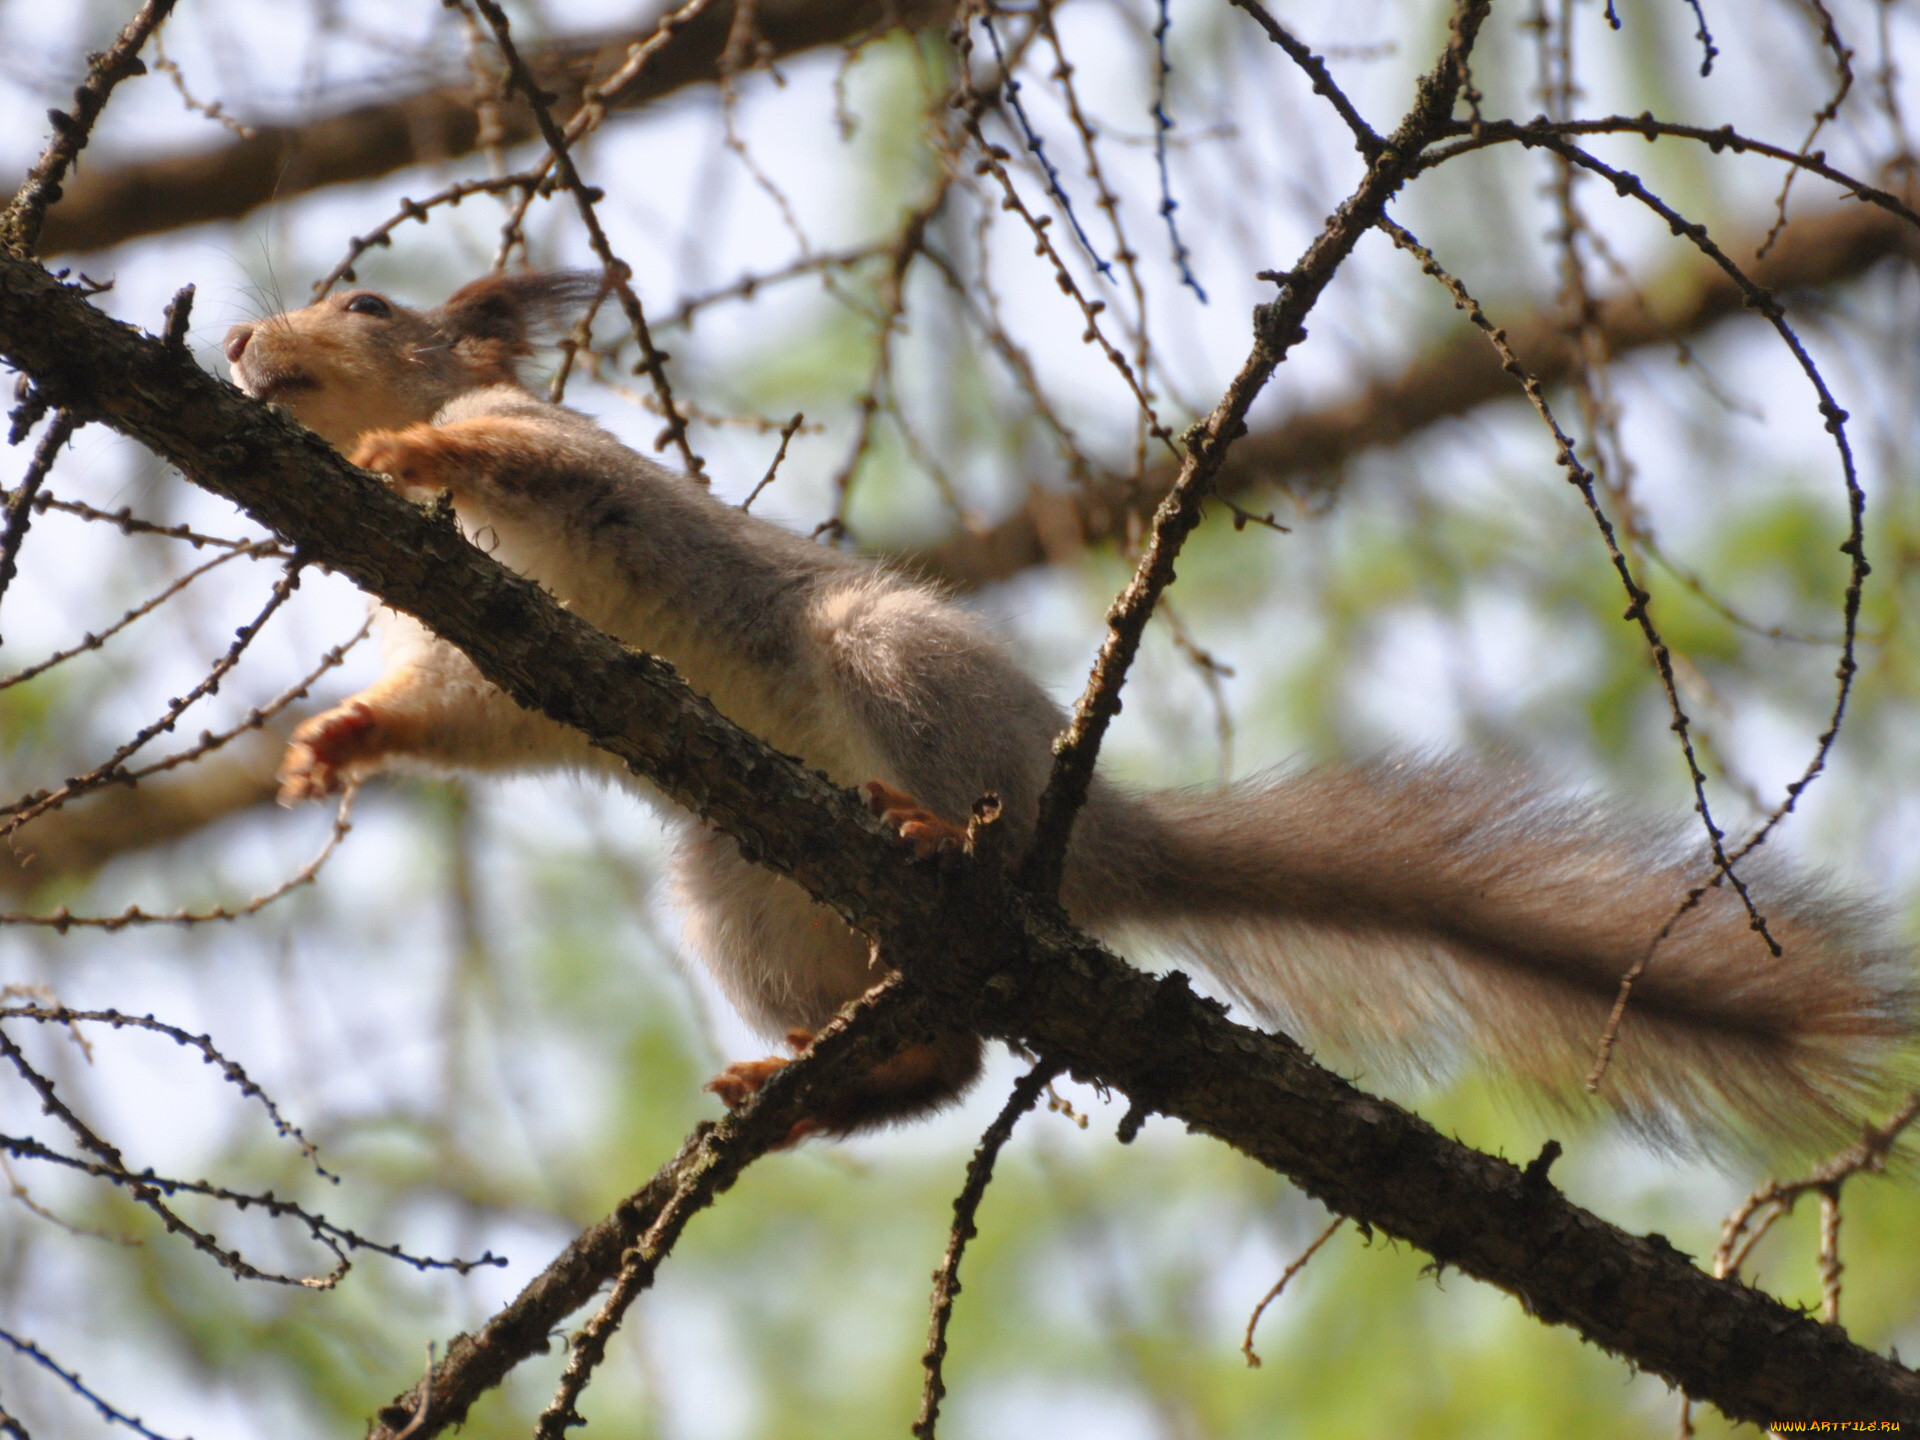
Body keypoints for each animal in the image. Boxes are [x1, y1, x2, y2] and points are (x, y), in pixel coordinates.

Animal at [228, 270, 1920, 1152]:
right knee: (948, 1064)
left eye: (365, 297)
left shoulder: (565, 463)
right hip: (736, 892)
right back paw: (832, 1076)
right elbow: (465, 718)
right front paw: (333, 745)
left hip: (886, 664)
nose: (242, 338)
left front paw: (419, 459)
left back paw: (933, 844)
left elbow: (525, 461)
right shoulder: (481, 657)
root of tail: (1090, 833)